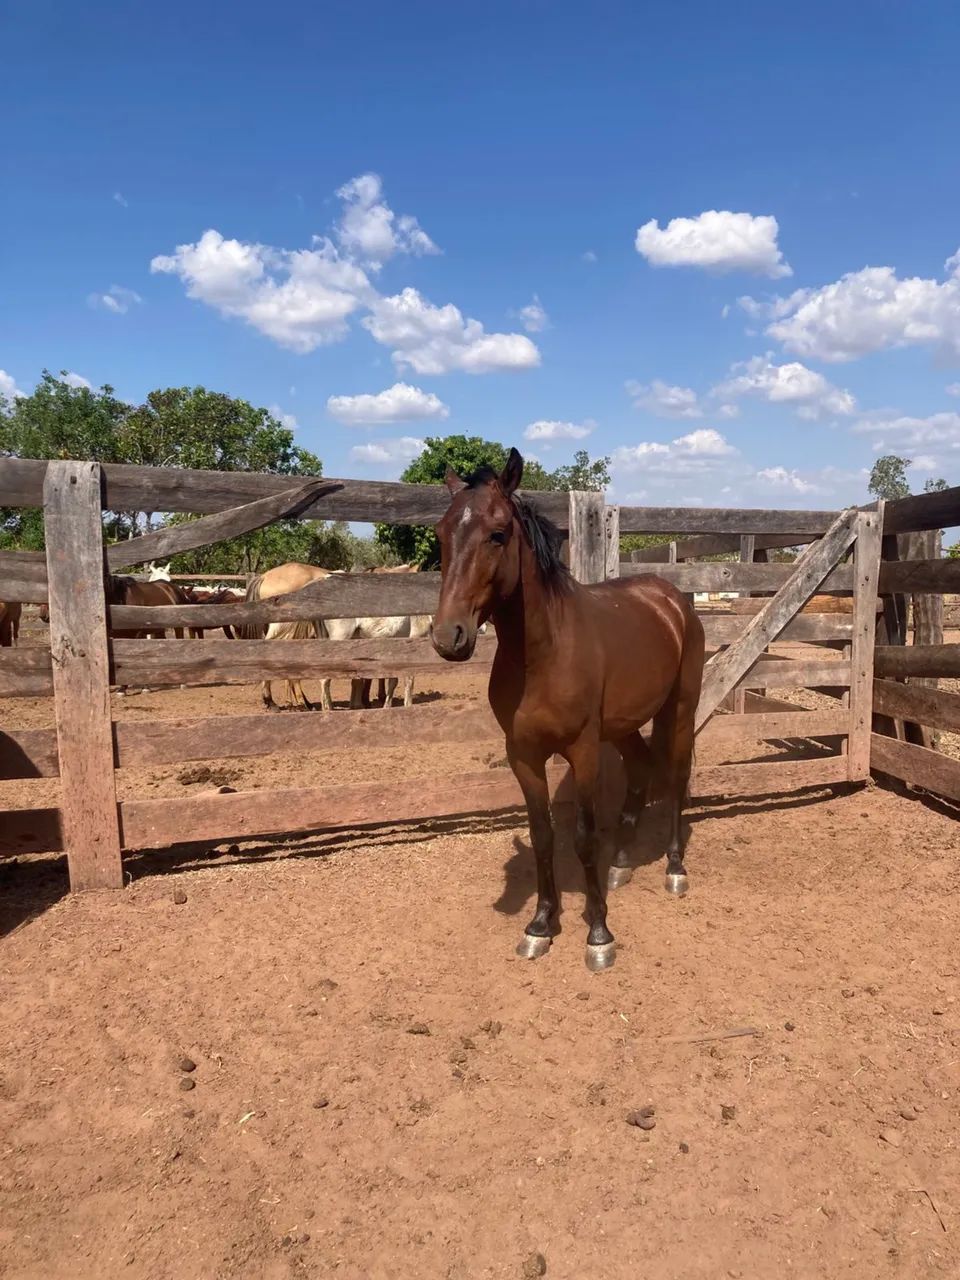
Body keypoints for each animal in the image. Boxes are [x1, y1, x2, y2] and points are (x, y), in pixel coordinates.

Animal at [431, 448, 705, 972]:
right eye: (441, 532)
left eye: (498, 533)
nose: (447, 637)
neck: (544, 654)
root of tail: (672, 600)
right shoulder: (523, 755)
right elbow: (543, 835)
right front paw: (540, 925)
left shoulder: (582, 751)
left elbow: (582, 836)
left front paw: (598, 933)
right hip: (622, 726)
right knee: (641, 768)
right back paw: (621, 865)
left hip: (678, 710)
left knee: (676, 776)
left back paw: (676, 868)